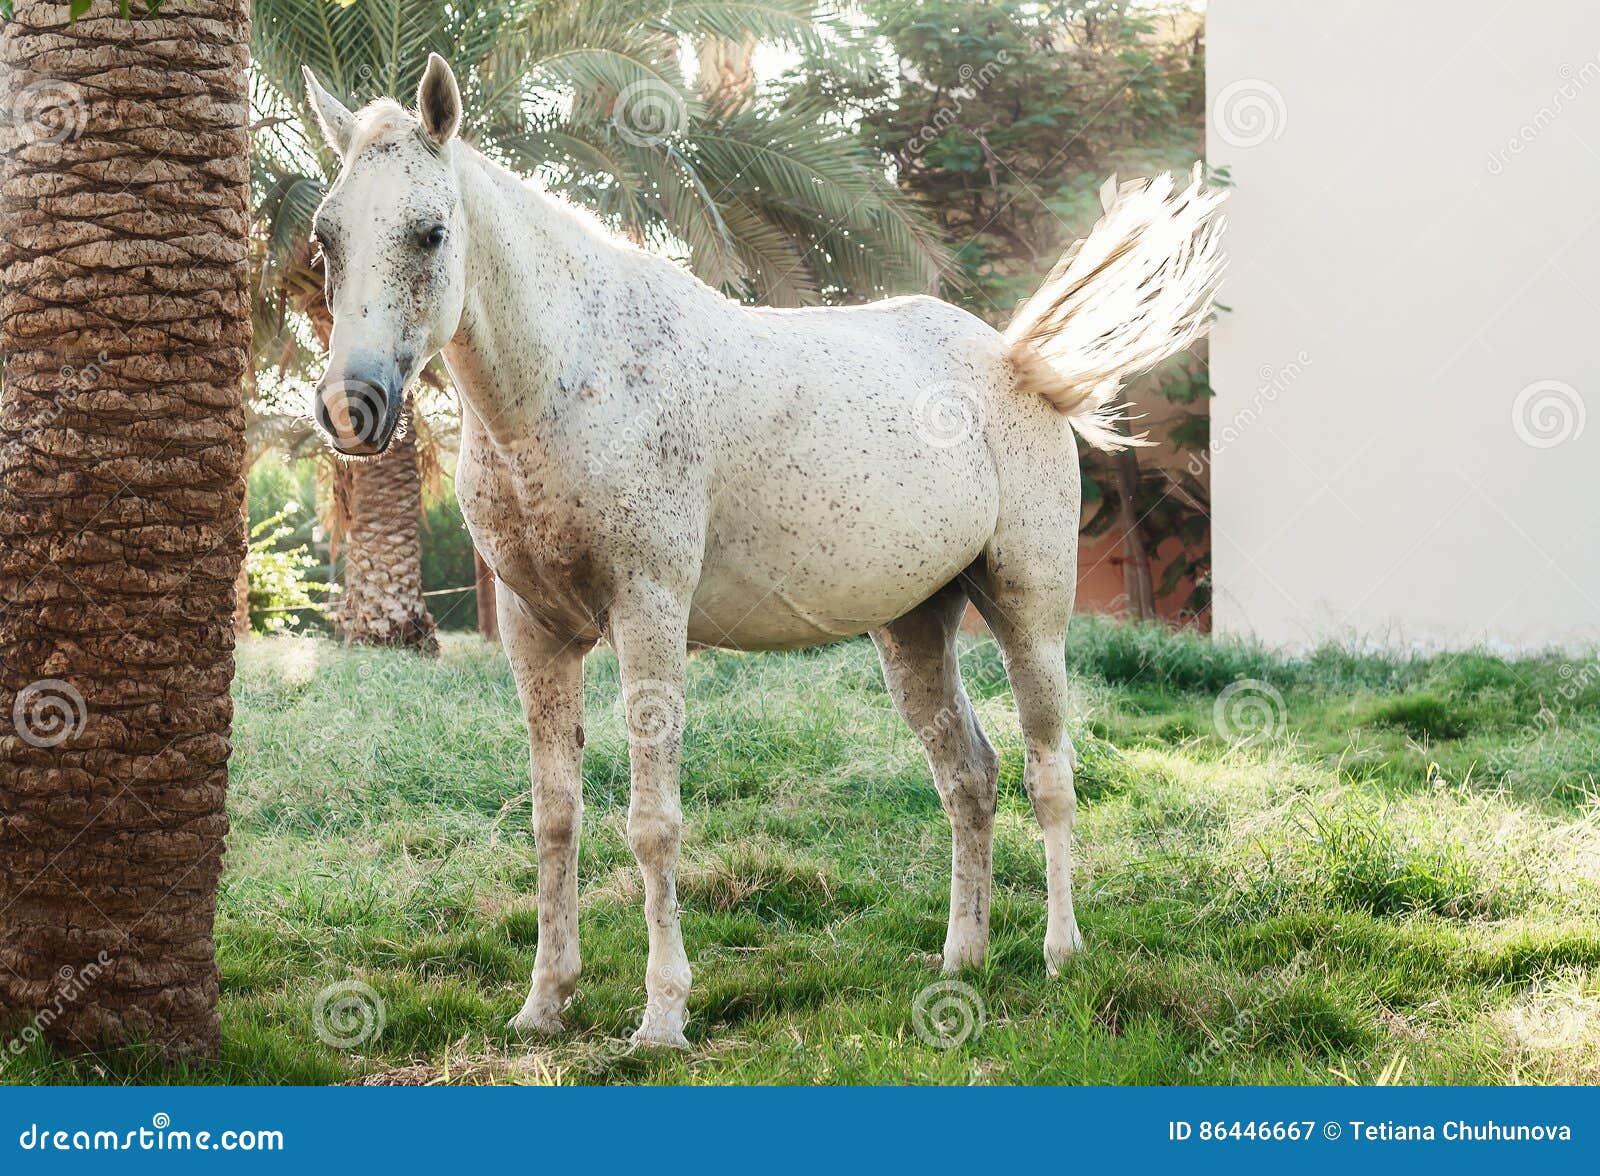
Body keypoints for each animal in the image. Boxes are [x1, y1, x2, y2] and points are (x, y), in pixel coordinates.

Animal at [302, 54, 1225, 1047]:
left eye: (429, 232)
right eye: (326, 238)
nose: (352, 405)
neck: (575, 375)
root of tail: (1018, 362)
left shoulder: (649, 614)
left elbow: (653, 822)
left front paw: (663, 1015)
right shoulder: (533, 630)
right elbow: (556, 819)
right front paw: (545, 1003)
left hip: (1029, 615)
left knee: (1047, 773)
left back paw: (1060, 955)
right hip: (915, 630)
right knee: (968, 778)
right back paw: (961, 960)